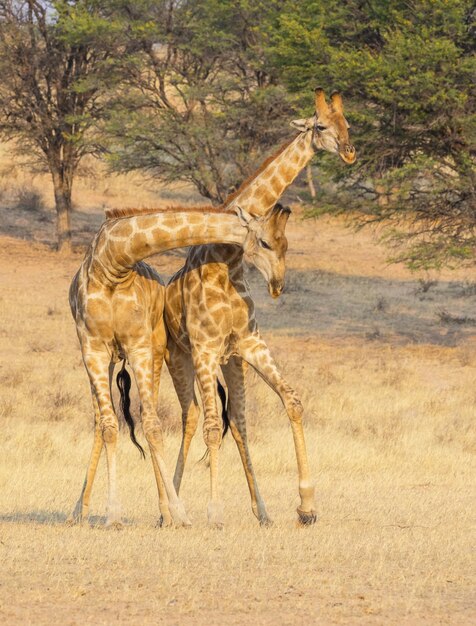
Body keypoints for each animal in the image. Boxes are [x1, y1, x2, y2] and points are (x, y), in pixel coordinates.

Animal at [68, 204, 286, 528]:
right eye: (265, 242)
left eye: (286, 244)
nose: (278, 285)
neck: (112, 262)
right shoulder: (91, 347)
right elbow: (109, 427)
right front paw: (113, 514)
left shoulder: (140, 345)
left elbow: (153, 425)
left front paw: (178, 513)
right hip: (111, 359)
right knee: (101, 422)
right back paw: (78, 510)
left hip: (157, 351)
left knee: (149, 420)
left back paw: (165, 513)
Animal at [163, 86, 354, 528]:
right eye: (321, 126)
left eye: (347, 124)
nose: (350, 151)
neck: (226, 259)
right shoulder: (204, 350)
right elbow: (210, 427)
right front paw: (214, 513)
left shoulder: (248, 344)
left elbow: (292, 401)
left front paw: (306, 506)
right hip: (178, 357)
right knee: (191, 417)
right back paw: (172, 510)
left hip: (231, 362)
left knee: (238, 424)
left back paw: (261, 511)